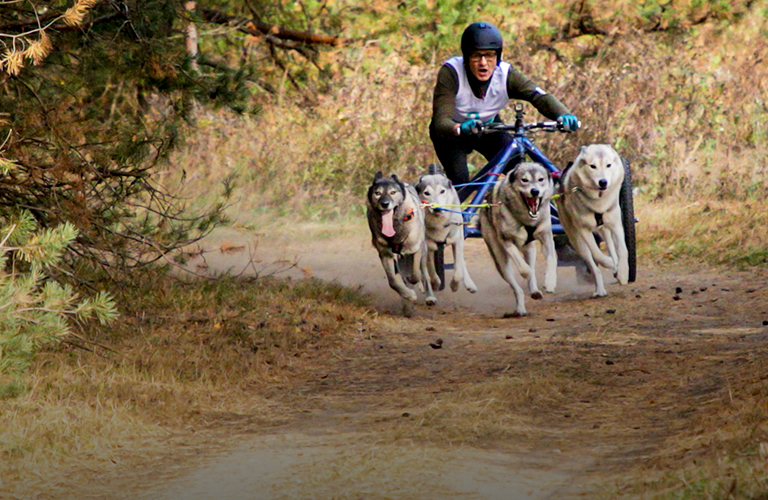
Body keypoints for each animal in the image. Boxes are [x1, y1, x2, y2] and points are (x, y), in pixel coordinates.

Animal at [368, 170, 436, 314]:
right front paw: (407, 294)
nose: (385, 203)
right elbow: (393, 281)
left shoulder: (416, 249)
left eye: (393, 192)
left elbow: (416, 274)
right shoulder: (385, 254)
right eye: (378, 193)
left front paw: (412, 281)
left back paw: (430, 296)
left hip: (423, 250)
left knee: (424, 273)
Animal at [416, 164, 476, 294]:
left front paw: (455, 285)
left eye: (442, 191)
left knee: (461, 262)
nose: (437, 208)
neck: (439, 223)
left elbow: (458, 270)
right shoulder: (428, 245)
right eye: (426, 193)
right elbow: (431, 270)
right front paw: (434, 284)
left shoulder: (457, 240)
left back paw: (469, 283)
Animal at [476, 161, 556, 316]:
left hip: (530, 250)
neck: (526, 219)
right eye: (524, 180)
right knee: (516, 288)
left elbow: (551, 259)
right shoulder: (507, 241)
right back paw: (520, 309)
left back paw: (535, 291)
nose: (535, 191)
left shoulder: (546, 237)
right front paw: (528, 273)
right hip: (501, 262)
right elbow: (525, 269)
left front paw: (550, 281)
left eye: (540, 179)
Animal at [560, 143, 632, 294]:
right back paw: (600, 289)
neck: (598, 202)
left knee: (611, 246)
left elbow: (623, 250)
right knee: (593, 267)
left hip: (605, 229)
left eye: (608, 165)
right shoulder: (584, 230)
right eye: (592, 166)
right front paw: (609, 263)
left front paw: (623, 272)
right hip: (578, 242)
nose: (603, 182)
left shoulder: (616, 224)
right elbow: (597, 254)